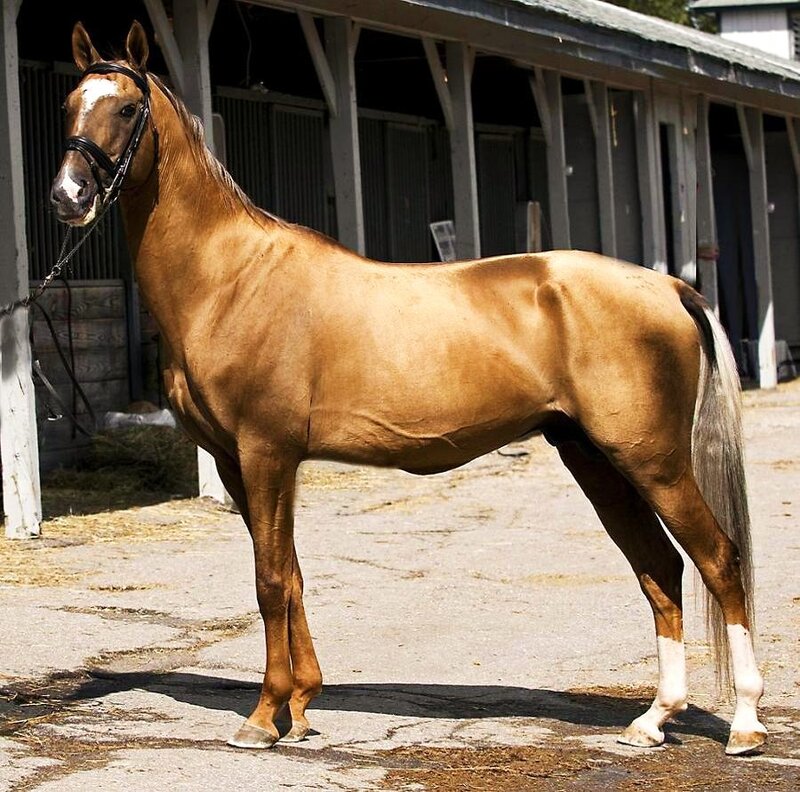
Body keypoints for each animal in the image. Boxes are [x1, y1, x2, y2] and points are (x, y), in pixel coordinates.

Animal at [49, 21, 767, 756]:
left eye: (126, 109)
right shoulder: (234, 461)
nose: (68, 197)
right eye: (69, 103)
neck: (231, 279)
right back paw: (653, 719)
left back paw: (744, 723)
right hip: (596, 460)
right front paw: (301, 706)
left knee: (719, 559)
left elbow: (271, 579)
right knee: (660, 568)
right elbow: (293, 574)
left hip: (653, 461)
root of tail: (670, 286)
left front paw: (263, 715)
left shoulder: (266, 453)